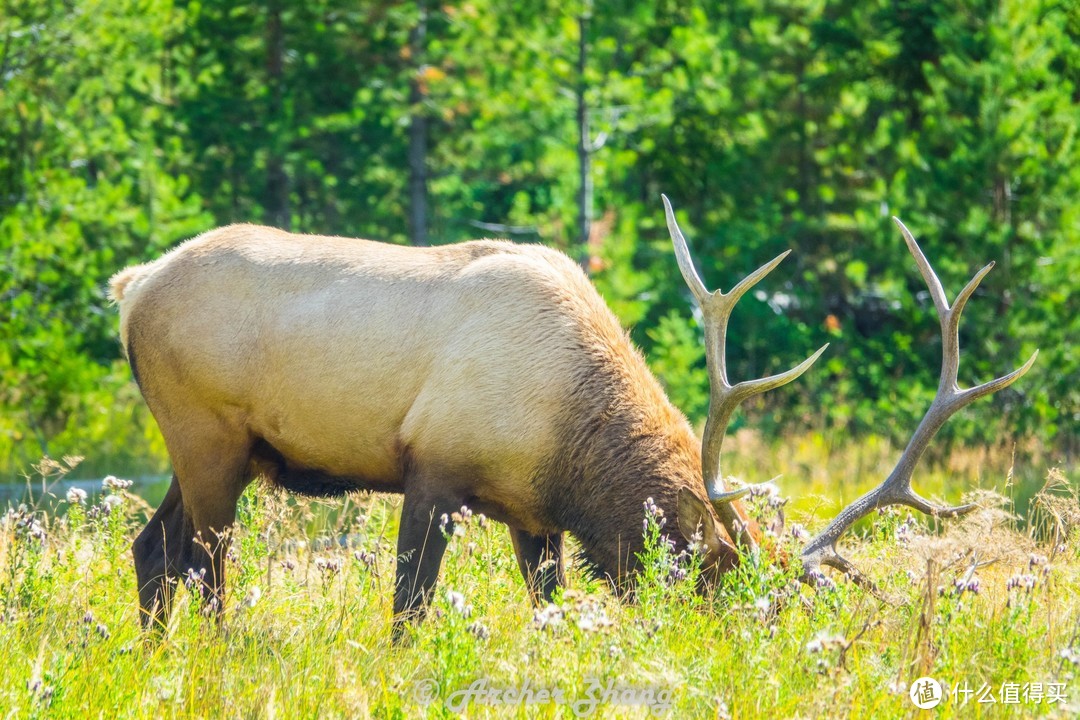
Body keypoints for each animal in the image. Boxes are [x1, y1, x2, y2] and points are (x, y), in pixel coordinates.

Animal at [111, 197, 1036, 634]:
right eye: (723, 586)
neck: (570, 441)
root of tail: (131, 286)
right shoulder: (433, 470)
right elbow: (409, 610)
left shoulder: (533, 516)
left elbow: (545, 609)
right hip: (207, 435)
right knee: (206, 566)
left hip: (207, 450)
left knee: (153, 548)